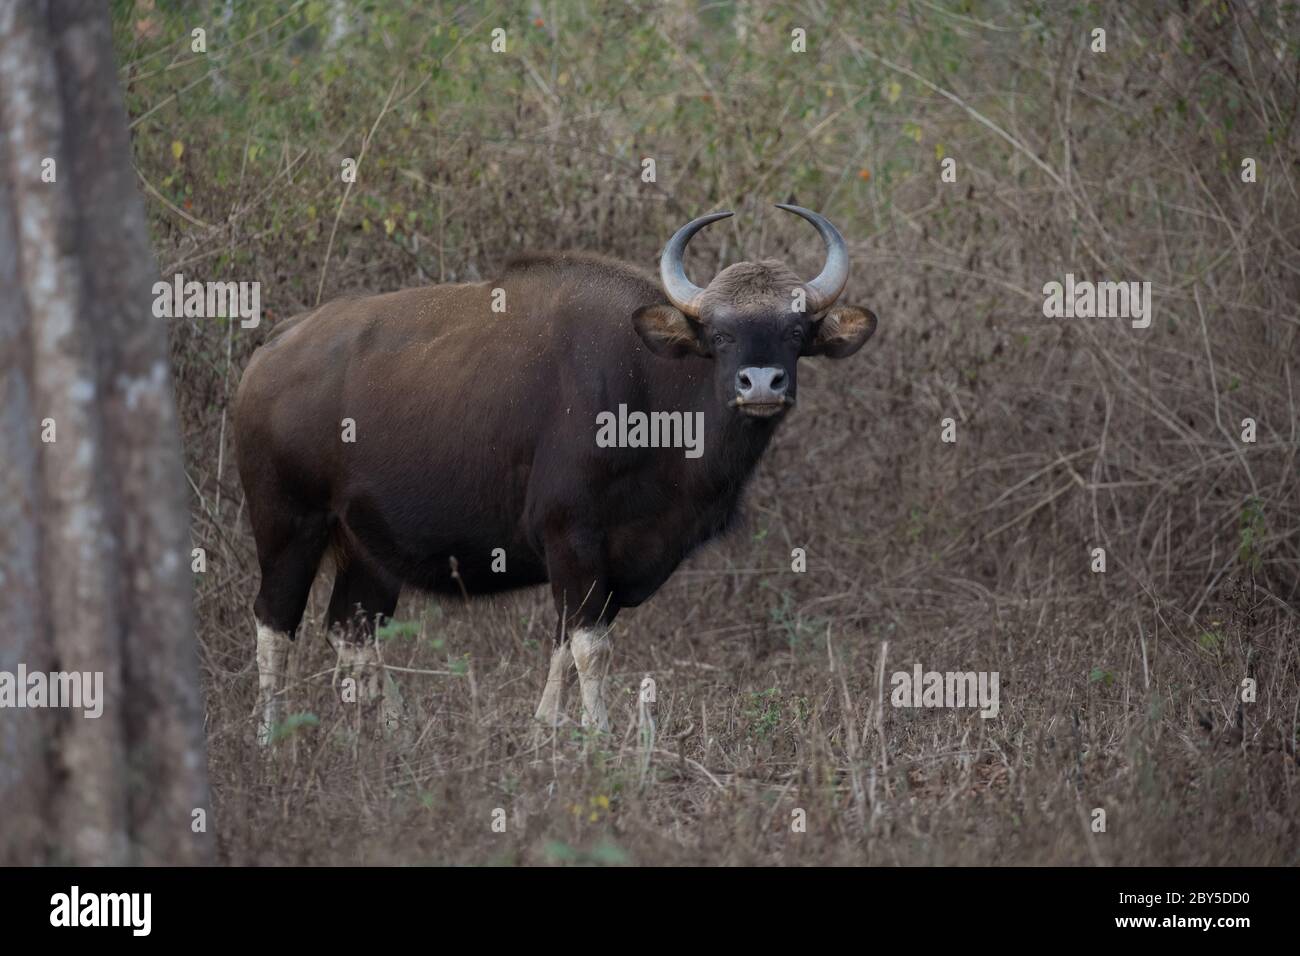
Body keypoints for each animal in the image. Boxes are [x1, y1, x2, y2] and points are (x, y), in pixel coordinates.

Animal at [237, 204, 878, 738]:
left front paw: (548, 730)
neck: (653, 398)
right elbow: (589, 649)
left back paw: (393, 728)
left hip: (367, 547)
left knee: (352, 630)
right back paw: (272, 739)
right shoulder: (573, 540)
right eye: (720, 334)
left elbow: (564, 646)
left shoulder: (607, 563)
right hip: (288, 523)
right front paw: (598, 736)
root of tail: (273, 350)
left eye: (795, 330)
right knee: (274, 624)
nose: (761, 384)